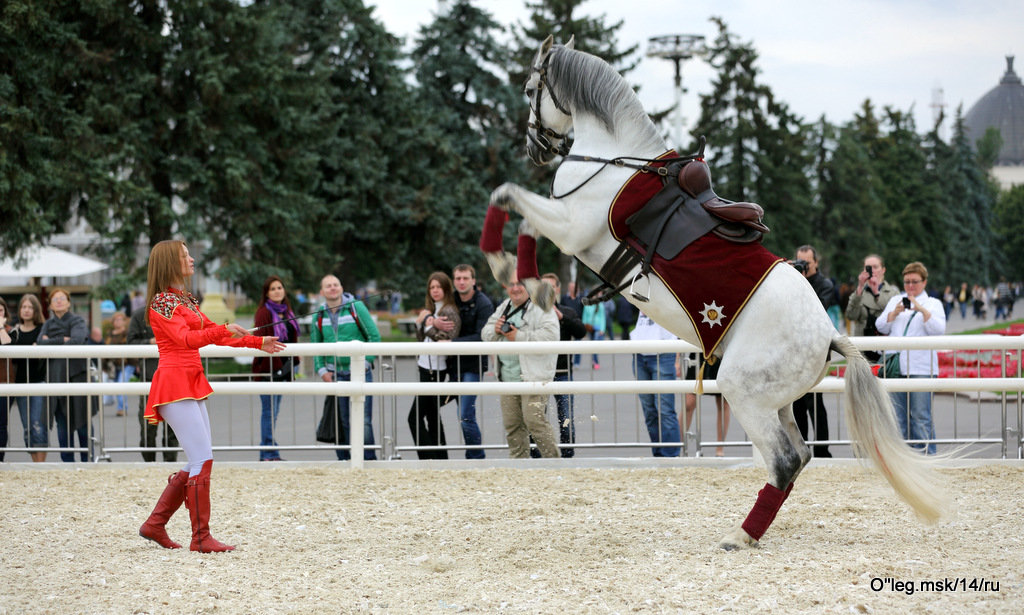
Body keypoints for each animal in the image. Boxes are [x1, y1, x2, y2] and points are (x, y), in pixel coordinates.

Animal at [483, 36, 946, 548]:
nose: (534, 146)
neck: (614, 162)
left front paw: (508, 268)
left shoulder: (572, 228)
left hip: (743, 393)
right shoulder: (566, 225)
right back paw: (752, 531)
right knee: (800, 455)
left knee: (785, 460)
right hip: (778, 402)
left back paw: (740, 536)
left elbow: (507, 195)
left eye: (530, 90)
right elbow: (523, 217)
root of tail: (828, 337)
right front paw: (531, 283)